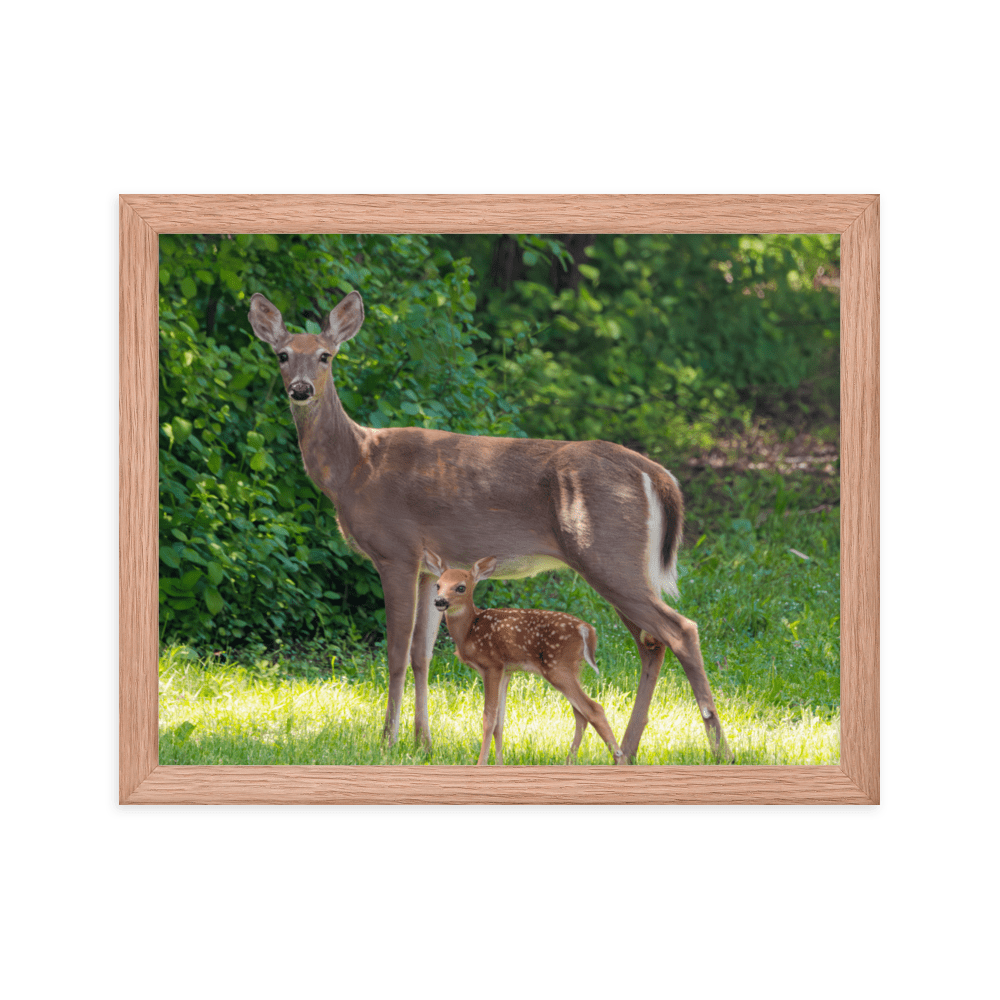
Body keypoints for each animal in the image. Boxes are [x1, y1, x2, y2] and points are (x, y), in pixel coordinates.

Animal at [248, 290, 736, 764]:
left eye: (326, 355)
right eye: (282, 354)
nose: (300, 389)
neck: (354, 467)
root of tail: (657, 474)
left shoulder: (396, 551)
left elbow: (396, 653)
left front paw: (387, 742)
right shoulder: (429, 568)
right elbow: (423, 654)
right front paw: (423, 743)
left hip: (608, 555)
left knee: (681, 630)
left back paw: (720, 750)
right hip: (619, 563)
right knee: (652, 642)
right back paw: (629, 750)